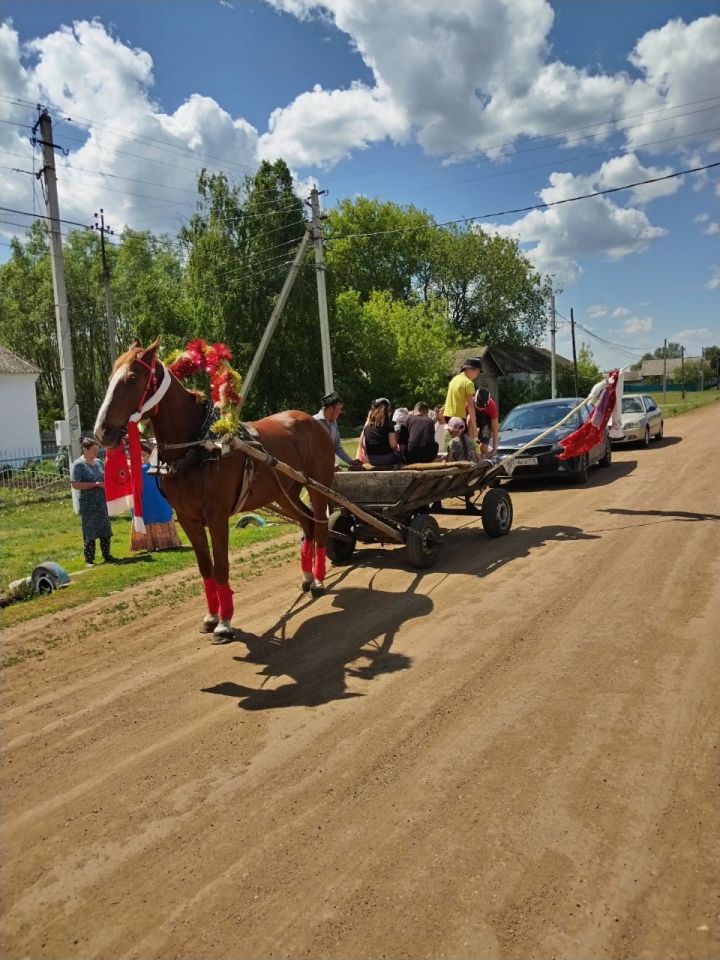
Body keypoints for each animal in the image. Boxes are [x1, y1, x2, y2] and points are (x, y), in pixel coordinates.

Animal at [92, 342, 334, 640]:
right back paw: (307, 576)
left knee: (320, 524)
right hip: (283, 492)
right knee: (306, 523)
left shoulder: (217, 516)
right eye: (110, 379)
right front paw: (211, 616)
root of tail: (311, 419)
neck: (198, 447)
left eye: (133, 378)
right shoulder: (188, 518)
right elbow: (205, 566)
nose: (101, 432)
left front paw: (225, 622)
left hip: (318, 485)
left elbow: (221, 566)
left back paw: (319, 579)